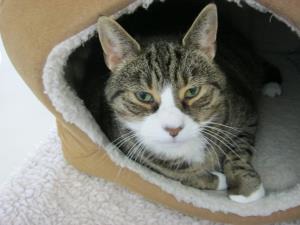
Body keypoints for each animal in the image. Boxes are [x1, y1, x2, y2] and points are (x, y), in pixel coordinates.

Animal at [94, 3, 268, 204]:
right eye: (143, 96)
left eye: (192, 91)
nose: (174, 129)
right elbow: (173, 173)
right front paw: (216, 179)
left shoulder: (246, 114)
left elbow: (238, 149)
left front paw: (246, 187)